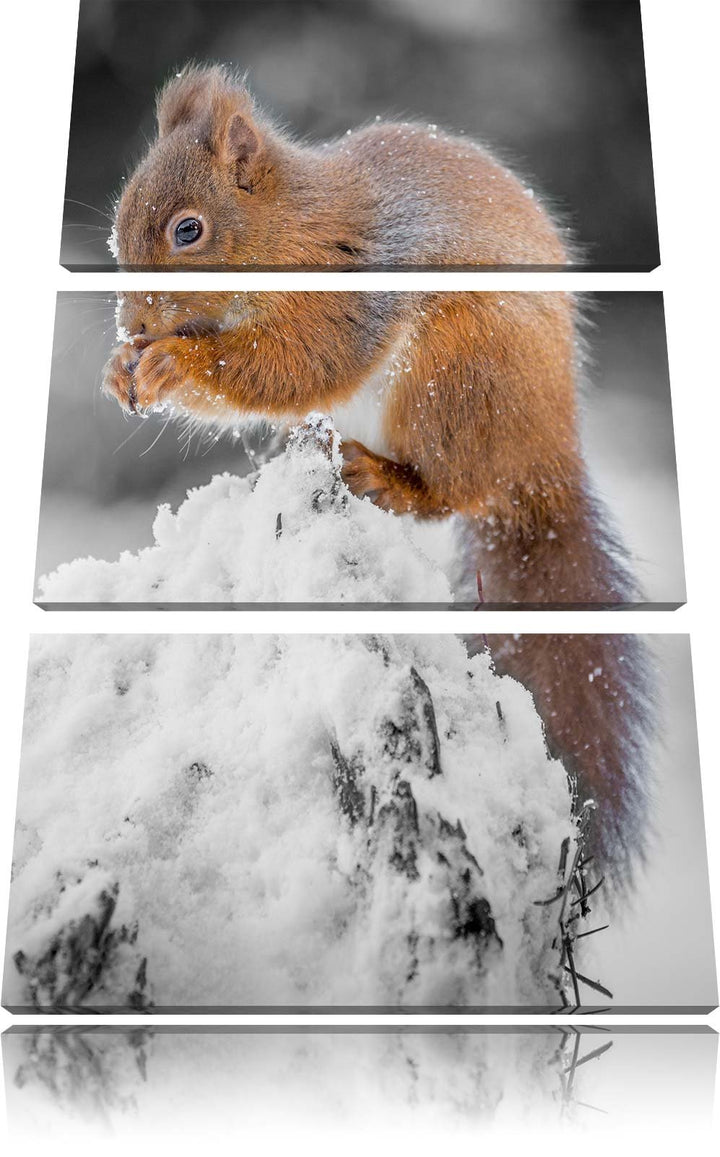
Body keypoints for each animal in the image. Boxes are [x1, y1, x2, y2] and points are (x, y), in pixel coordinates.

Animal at [103, 65, 652, 879]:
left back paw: (384, 478)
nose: (134, 324)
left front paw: (174, 362)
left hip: (454, 375)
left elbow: (295, 363)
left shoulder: (348, 289)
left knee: (449, 490)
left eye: (188, 230)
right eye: (118, 223)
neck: (287, 227)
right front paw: (123, 368)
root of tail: (543, 449)